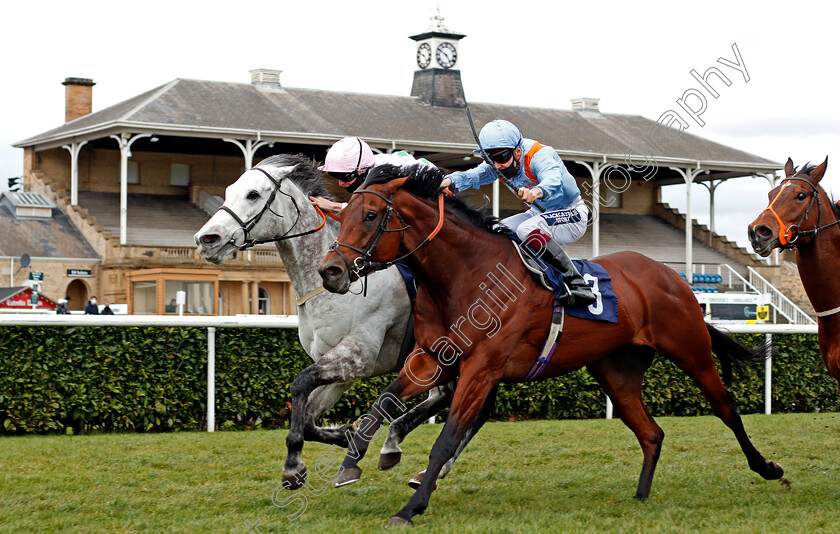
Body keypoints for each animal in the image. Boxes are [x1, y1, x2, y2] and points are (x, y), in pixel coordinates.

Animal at [194, 154, 452, 490]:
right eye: (227, 192)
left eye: (253, 194)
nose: (206, 239)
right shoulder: (340, 371)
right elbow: (307, 419)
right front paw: (344, 435)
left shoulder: (357, 356)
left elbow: (300, 384)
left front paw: (294, 466)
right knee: (444, 396)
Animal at [318, 162, 784, 528]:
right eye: (342, 214)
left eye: (372, 214)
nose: (331, 271)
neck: (467, 274)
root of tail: (670, 275)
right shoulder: (432, 358)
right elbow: (383, 401)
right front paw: (351, 462)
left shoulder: (481, 370)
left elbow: (446, 440)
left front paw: (411, 507)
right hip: (617, 373)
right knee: (651, 433)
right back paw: (640, 496)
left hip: (691, 351)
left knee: (726, 409)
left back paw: (767, 467)